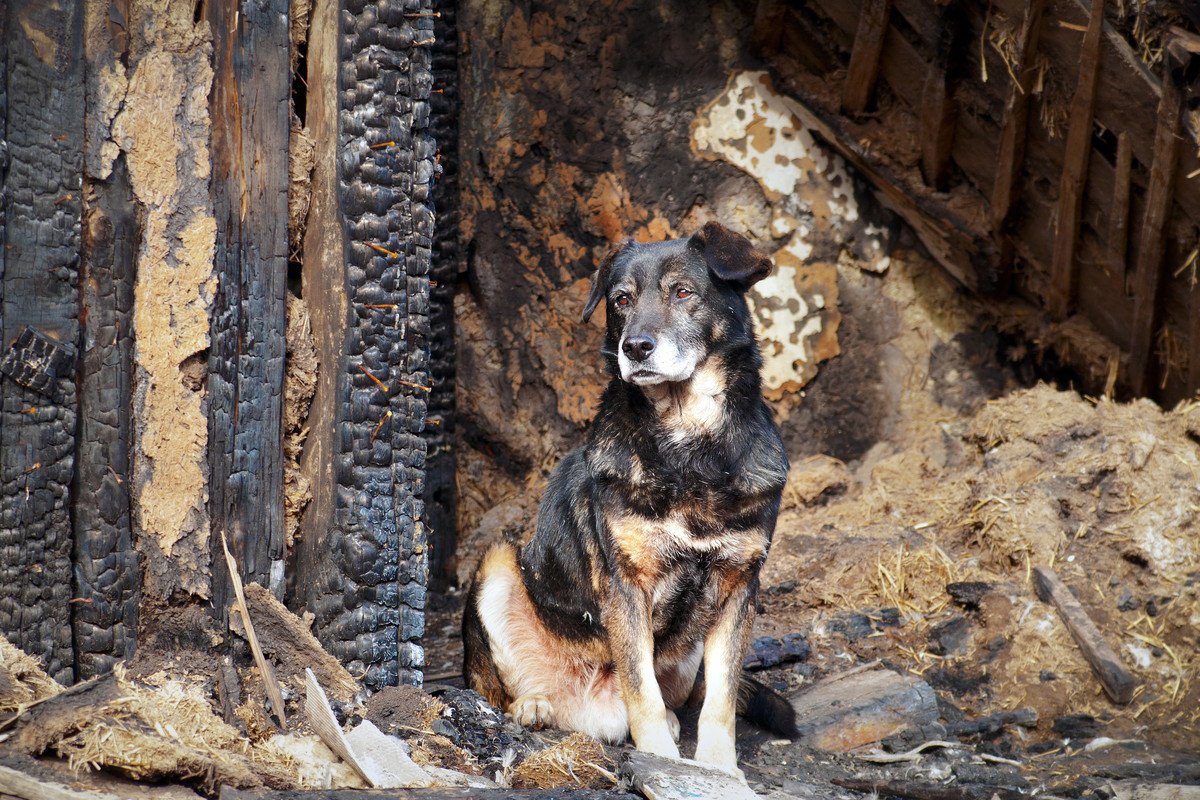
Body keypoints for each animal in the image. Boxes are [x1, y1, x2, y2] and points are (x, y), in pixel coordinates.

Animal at [463, 224, 792, 777]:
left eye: (682, 292)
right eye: (621, 300)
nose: (634, 347)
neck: (688, 447)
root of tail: (590, 710)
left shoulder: (738, 587)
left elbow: (720, 699)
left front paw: (719, 766)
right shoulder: (626, 585)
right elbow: (642, 690)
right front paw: (659, 757)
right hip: (499, 562)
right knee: (496, 691)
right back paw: (534, 704)